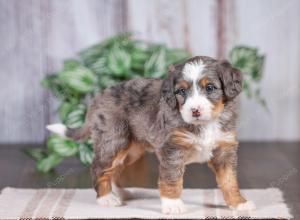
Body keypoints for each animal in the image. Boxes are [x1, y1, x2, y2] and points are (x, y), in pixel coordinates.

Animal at [48, 55, 254, 214]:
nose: (195, 110)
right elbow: (171, 179)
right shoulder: (172, 149)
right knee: (99, 168)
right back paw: (106, 198)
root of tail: (98, 98)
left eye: (210, 88)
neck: (205, 124)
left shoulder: (224, 149)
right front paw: (173, 205)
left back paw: (121, 193)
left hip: (132, 150)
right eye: (181, 91)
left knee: (115, 169)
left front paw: (238, 203)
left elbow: (229, 180)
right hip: (114, 141)